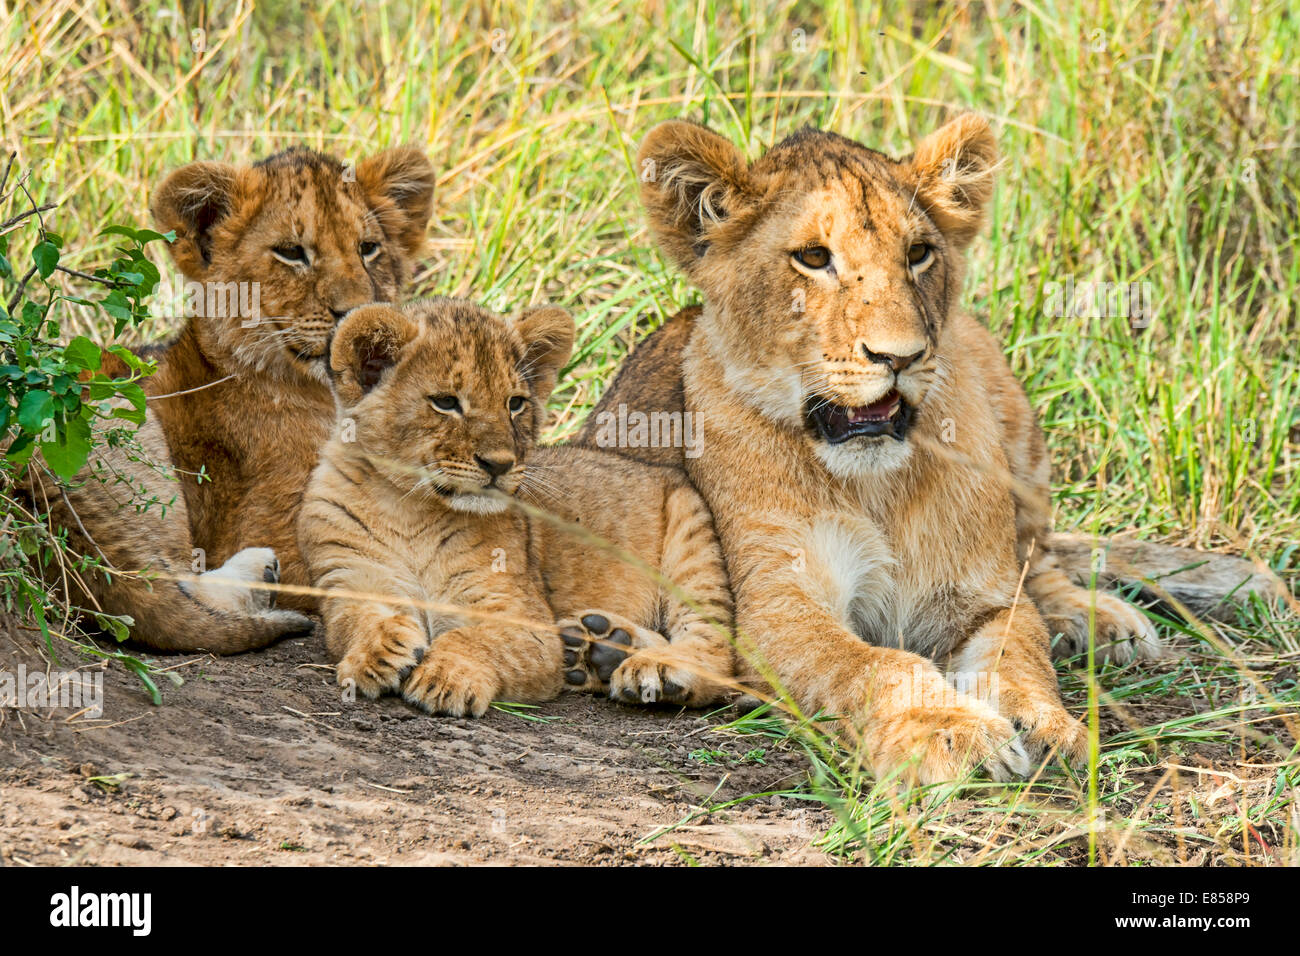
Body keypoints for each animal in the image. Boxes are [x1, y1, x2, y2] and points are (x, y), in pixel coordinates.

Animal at [25, 146, 435, 653]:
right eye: (291, 252)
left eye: (368, 248)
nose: (357, 312)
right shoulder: (273, 524)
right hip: (110, 415)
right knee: (163, 587)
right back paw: (258, 572)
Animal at [297, 298, 734, 717]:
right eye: (445, 402)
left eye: (516, 403)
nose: (500, 464)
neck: (413, 509)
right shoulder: (348, 576)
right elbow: (357, 619)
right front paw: (378, 651)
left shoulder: (520, 614)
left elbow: (476, 639)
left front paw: (447, 676)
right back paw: (599, 646)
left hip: (693, 534)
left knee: (722, 651)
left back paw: (653, 666)